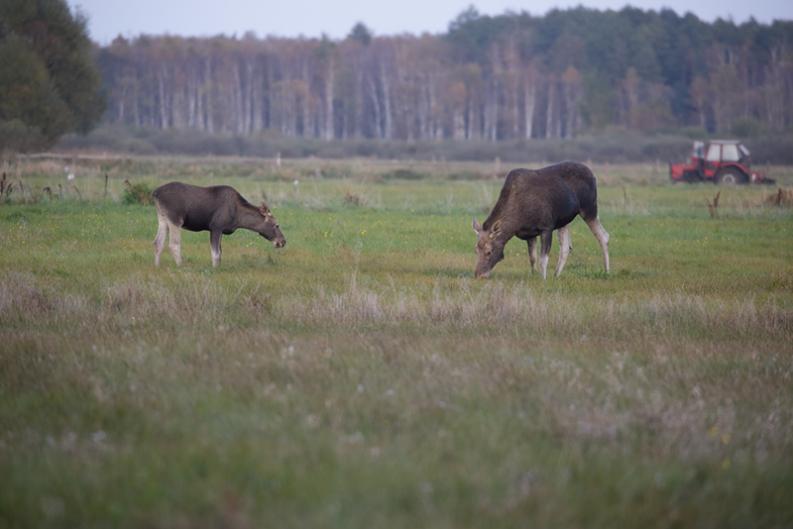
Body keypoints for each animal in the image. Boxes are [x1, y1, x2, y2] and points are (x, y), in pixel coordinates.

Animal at [152, 183, 284, 268]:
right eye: (276, 225)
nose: (283, 241)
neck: (238, 218)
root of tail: (155, 193)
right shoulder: (216, 227)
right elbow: (215, 254)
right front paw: (215, 269)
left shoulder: (220, 230)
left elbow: (220, 253)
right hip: (175, 219)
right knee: (173, 244)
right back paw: (180, 266)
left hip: (162, 218)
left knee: (158, 242)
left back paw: (157, 266)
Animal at [474, 162, 608, 278]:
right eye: (475, 250)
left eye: (489, 252)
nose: (478, 275)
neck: (516, 223)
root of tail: (593, 175)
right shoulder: (529, 234)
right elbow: (533, 258)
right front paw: (534, 276)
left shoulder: (547, 227)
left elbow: (543, 259)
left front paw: (542, 278)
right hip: (564, 221)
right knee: (566, 247)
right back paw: (556, 275)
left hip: (589, 209)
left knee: (603, 236)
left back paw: (607, 271)